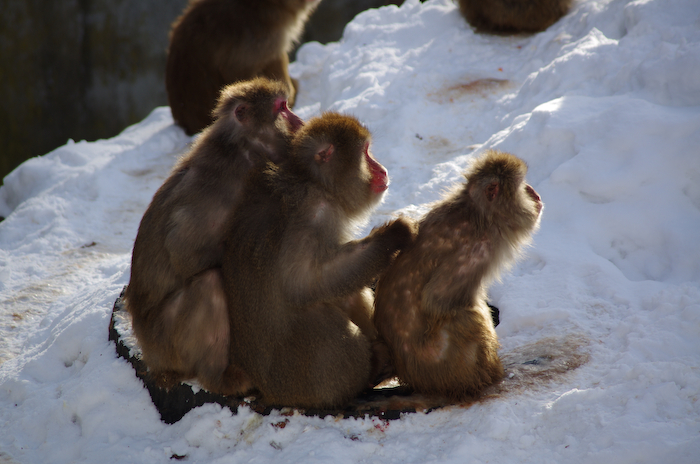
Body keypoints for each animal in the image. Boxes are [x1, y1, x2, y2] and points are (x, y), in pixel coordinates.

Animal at [124, 77, 304, 396]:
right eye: (282, 108)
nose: (298, 120)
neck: (242, 148)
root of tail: (149, 354)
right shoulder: (220, 188)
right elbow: (183, 252)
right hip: (167, 343)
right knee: (210, 284)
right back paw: (219, 379)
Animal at [220, 114, 416, 408]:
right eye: (366, 153)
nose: (382, 170)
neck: (316, 183)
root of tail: (266, 390)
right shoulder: (314, 215)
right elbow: (305, 282)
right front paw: (392, 236)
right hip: (298, 381)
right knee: (322, 317)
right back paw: (368, 374)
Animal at [374, 149, 544, 398]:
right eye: (523, 186)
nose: (536, 194)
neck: (477, 213)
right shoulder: (474, 251)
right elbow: (438, 302)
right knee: (465, 318)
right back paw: (486, 378)